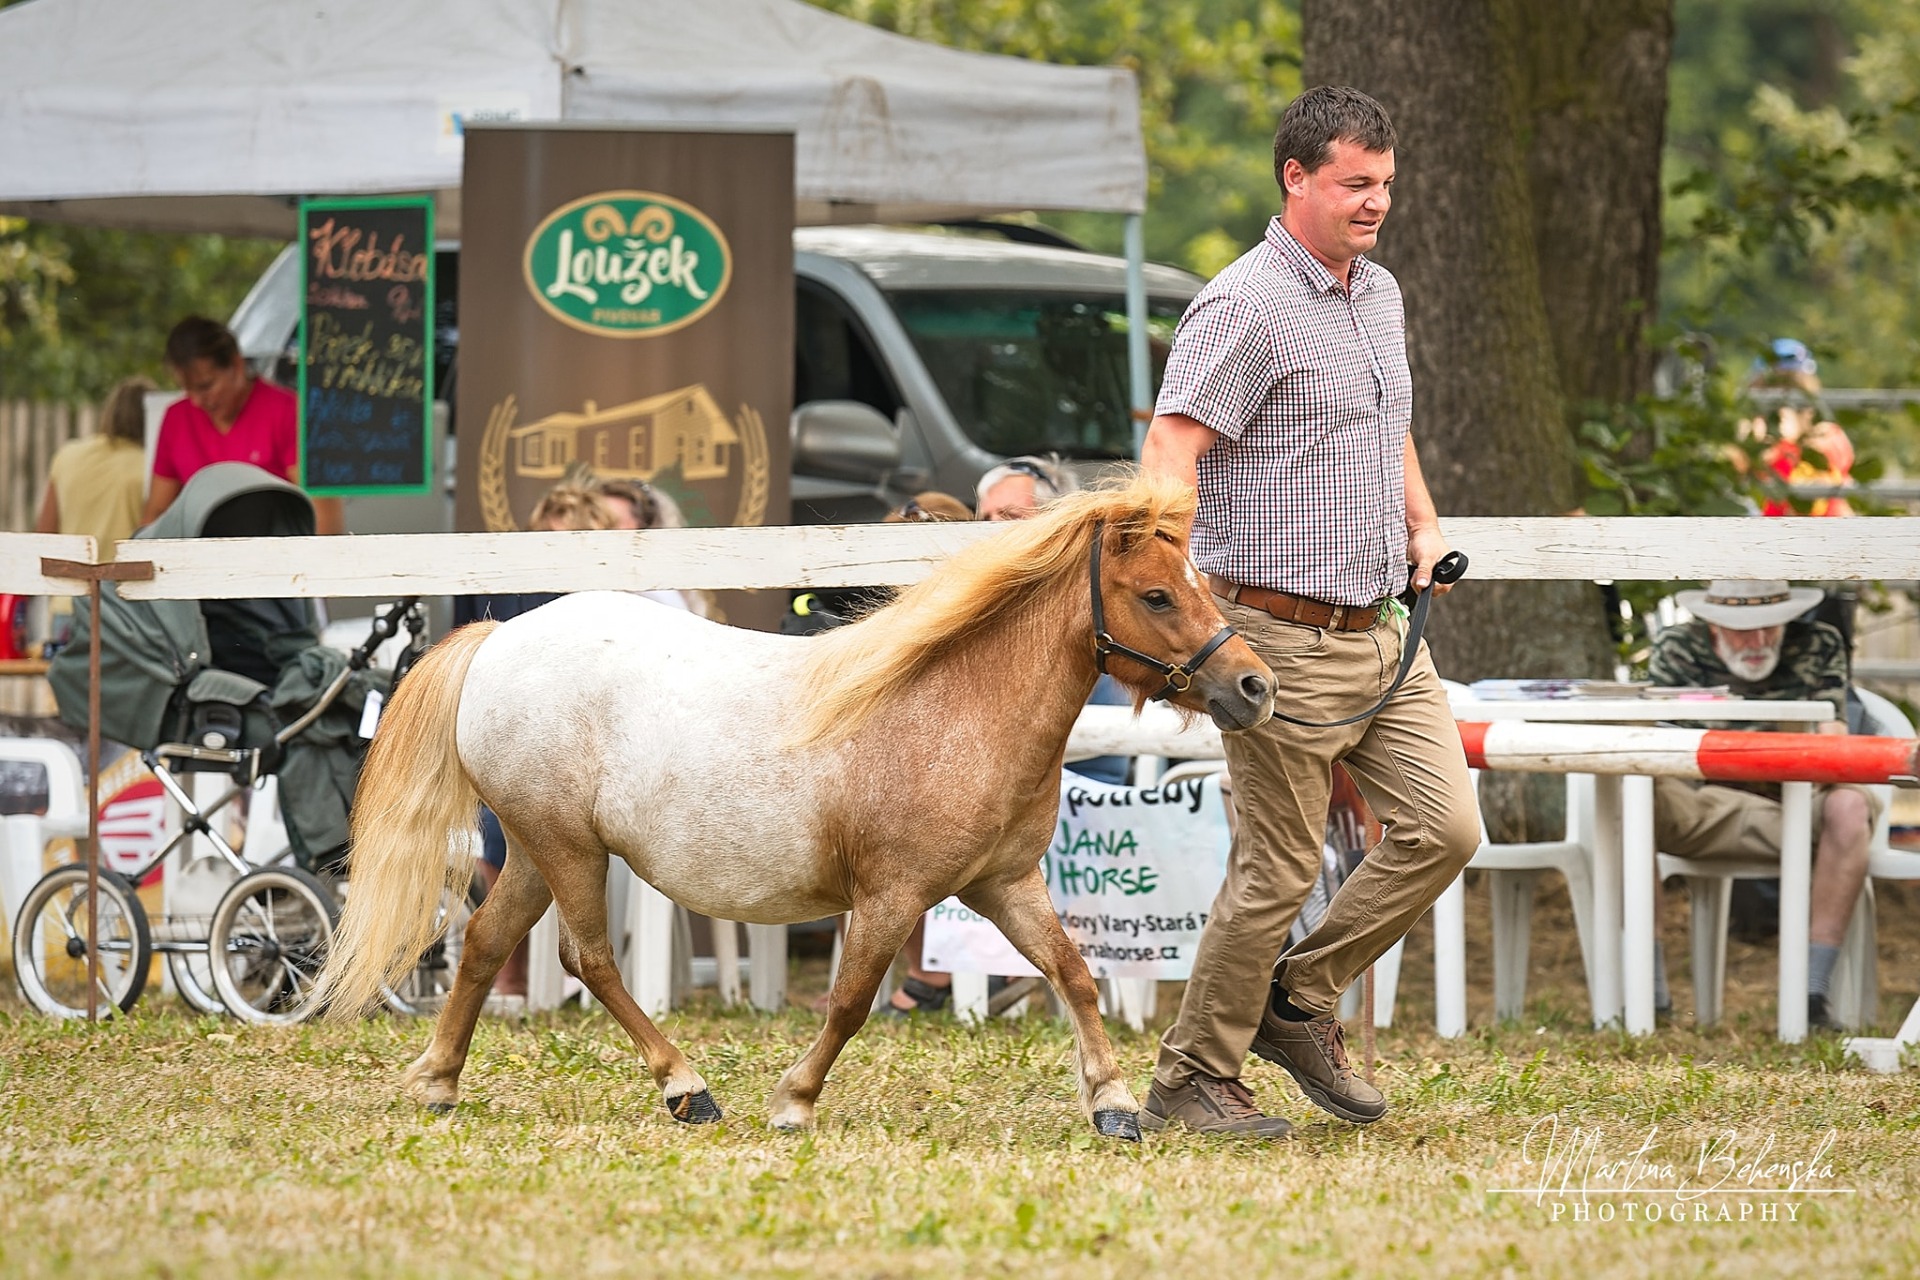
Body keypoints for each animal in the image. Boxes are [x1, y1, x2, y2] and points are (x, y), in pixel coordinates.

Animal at [316, 473, 1275, 1141]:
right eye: (1157, 594)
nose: (1254, 687)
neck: (955, 706)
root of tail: (500, 638)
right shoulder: (892, 897)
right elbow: (850, 1002)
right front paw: (793, 1102)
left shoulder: (1005, 885)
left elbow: (1072, 972)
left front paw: (1112, 1104)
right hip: (567, 848)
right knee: (588, 960)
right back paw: (688, 1089)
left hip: (532, 846)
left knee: (483, 942)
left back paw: (439, 1081)